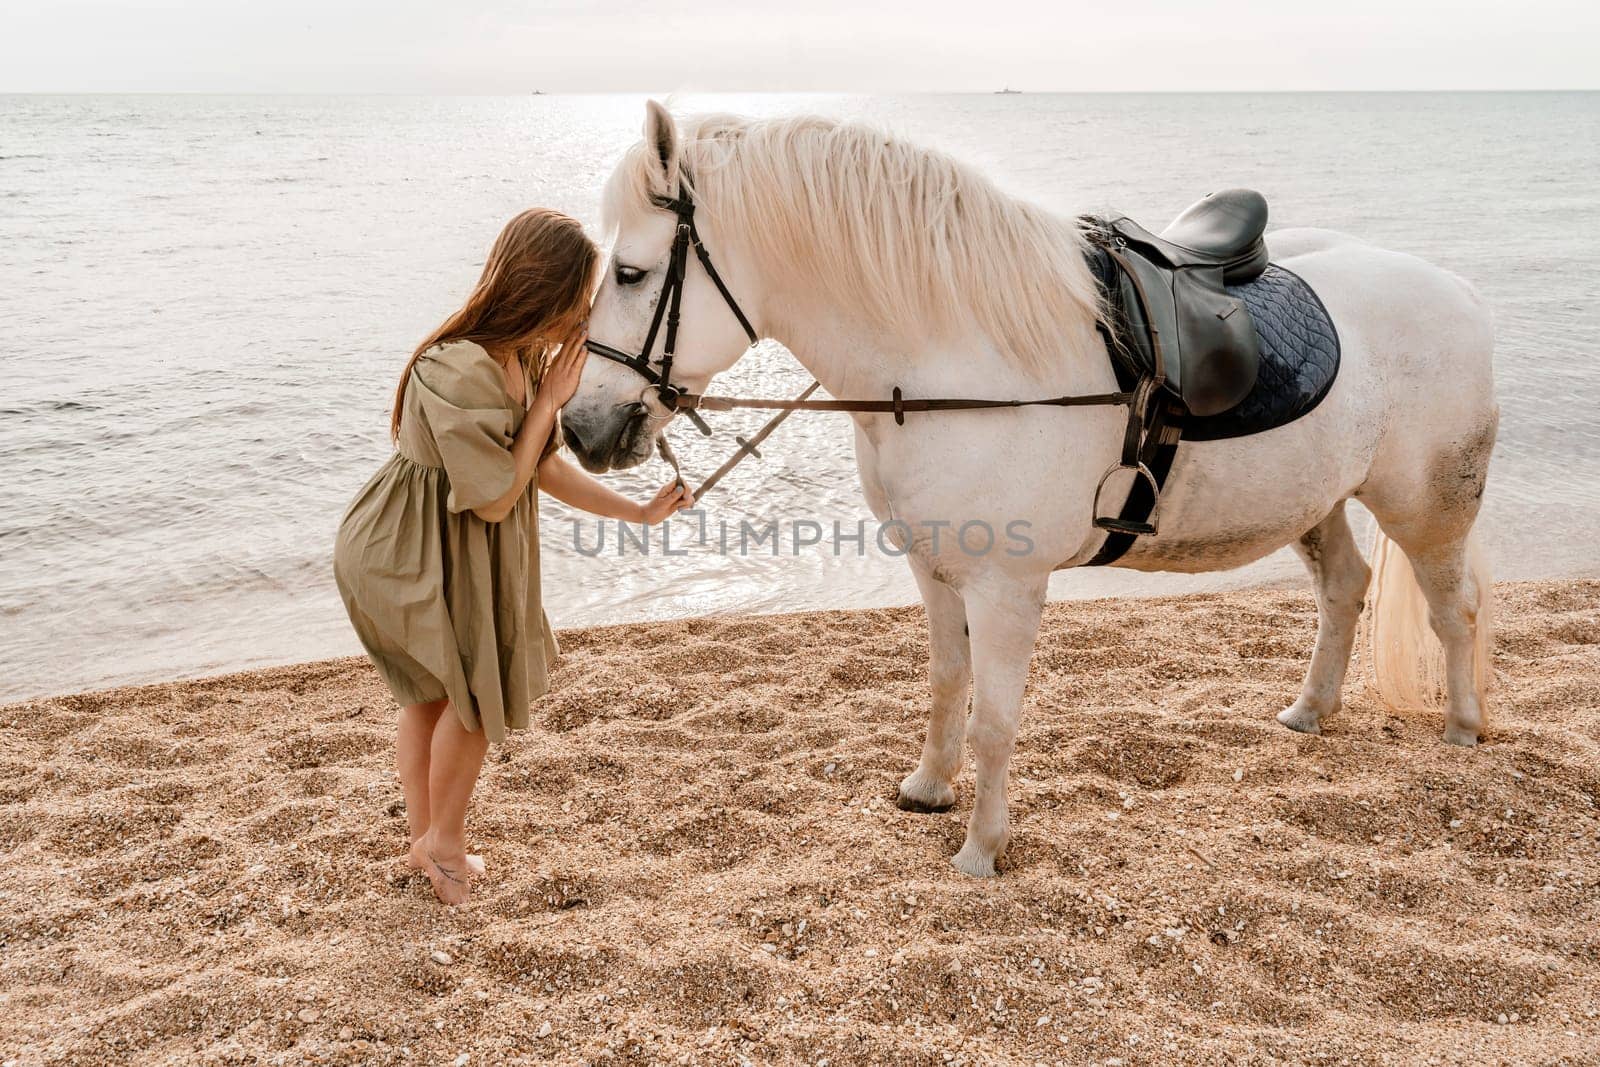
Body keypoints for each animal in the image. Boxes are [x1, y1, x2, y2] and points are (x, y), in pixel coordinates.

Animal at [566, 103, 1497, 883]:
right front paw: (928, 787)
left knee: (1454, 610)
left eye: (631, 274)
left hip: (1428, 511)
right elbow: (947, 682)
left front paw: (982, 848)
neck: (954, 359)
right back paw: (1309, 710)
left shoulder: (1006, 586)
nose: (579, 429)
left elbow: (994, 719)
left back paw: (1463, 728)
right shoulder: (933, 570)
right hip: (1317, 501)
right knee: (1345, 587)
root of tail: (1458, 290)